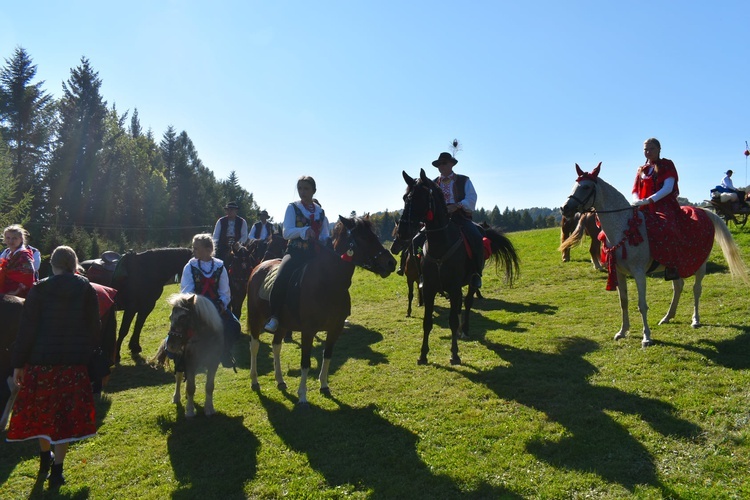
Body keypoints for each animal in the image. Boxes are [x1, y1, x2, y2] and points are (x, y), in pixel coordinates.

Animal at [248, 217, 400, 404]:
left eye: (375, 236)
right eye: (364, 238)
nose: (391, 262)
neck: (327, 283)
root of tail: (259, 266)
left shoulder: (335, 328)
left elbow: (327, 356)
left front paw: (324, 385)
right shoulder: (308, 331)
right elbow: (305, 362)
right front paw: (302, 395)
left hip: (282, 324)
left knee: (276, 346)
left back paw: (280, 380)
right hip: (255, 318)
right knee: (254, 346)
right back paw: (254, 381)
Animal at [400, 170, 524, 366]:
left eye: (420, 197)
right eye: (405, 198)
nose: (402, 231)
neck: (441, 245)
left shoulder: (454, 287)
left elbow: (451, 320)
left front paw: (455, 354)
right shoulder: (429, 289)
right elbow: (427, 322)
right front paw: (423, 354)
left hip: (471, 283)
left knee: (467, 304)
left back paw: (464, 329)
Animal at [560, 164, 748, 348]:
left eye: (586, 186)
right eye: (575, 185)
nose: (565, 208)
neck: (624, 227)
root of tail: (703, 212)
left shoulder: (639, 274)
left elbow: (642, 305)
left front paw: (647, 338)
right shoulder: (619, 273)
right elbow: (623, 302)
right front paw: (622, 331)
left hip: (700, 265)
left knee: (696, 289)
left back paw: (695, 320)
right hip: (675, 265)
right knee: (678, 286)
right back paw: (667, 317)